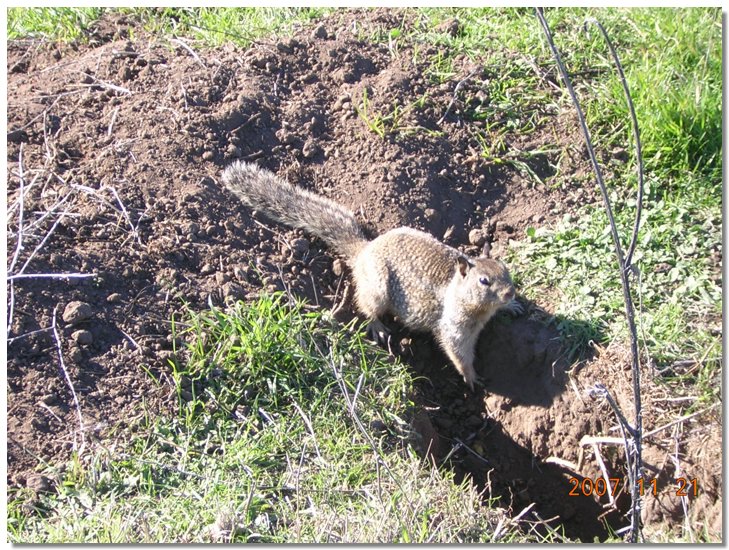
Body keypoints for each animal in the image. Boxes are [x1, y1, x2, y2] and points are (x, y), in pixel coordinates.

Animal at [222, 162, 516, 390]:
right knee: (366, 306)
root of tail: (364, 251)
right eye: (484, 281)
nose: (510, 292)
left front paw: (514, 306)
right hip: (377, 290)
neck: (461, 292)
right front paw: (471, 376)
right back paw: (378, 327)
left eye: (506, 271)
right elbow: (457, 352)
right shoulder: (455, 326)